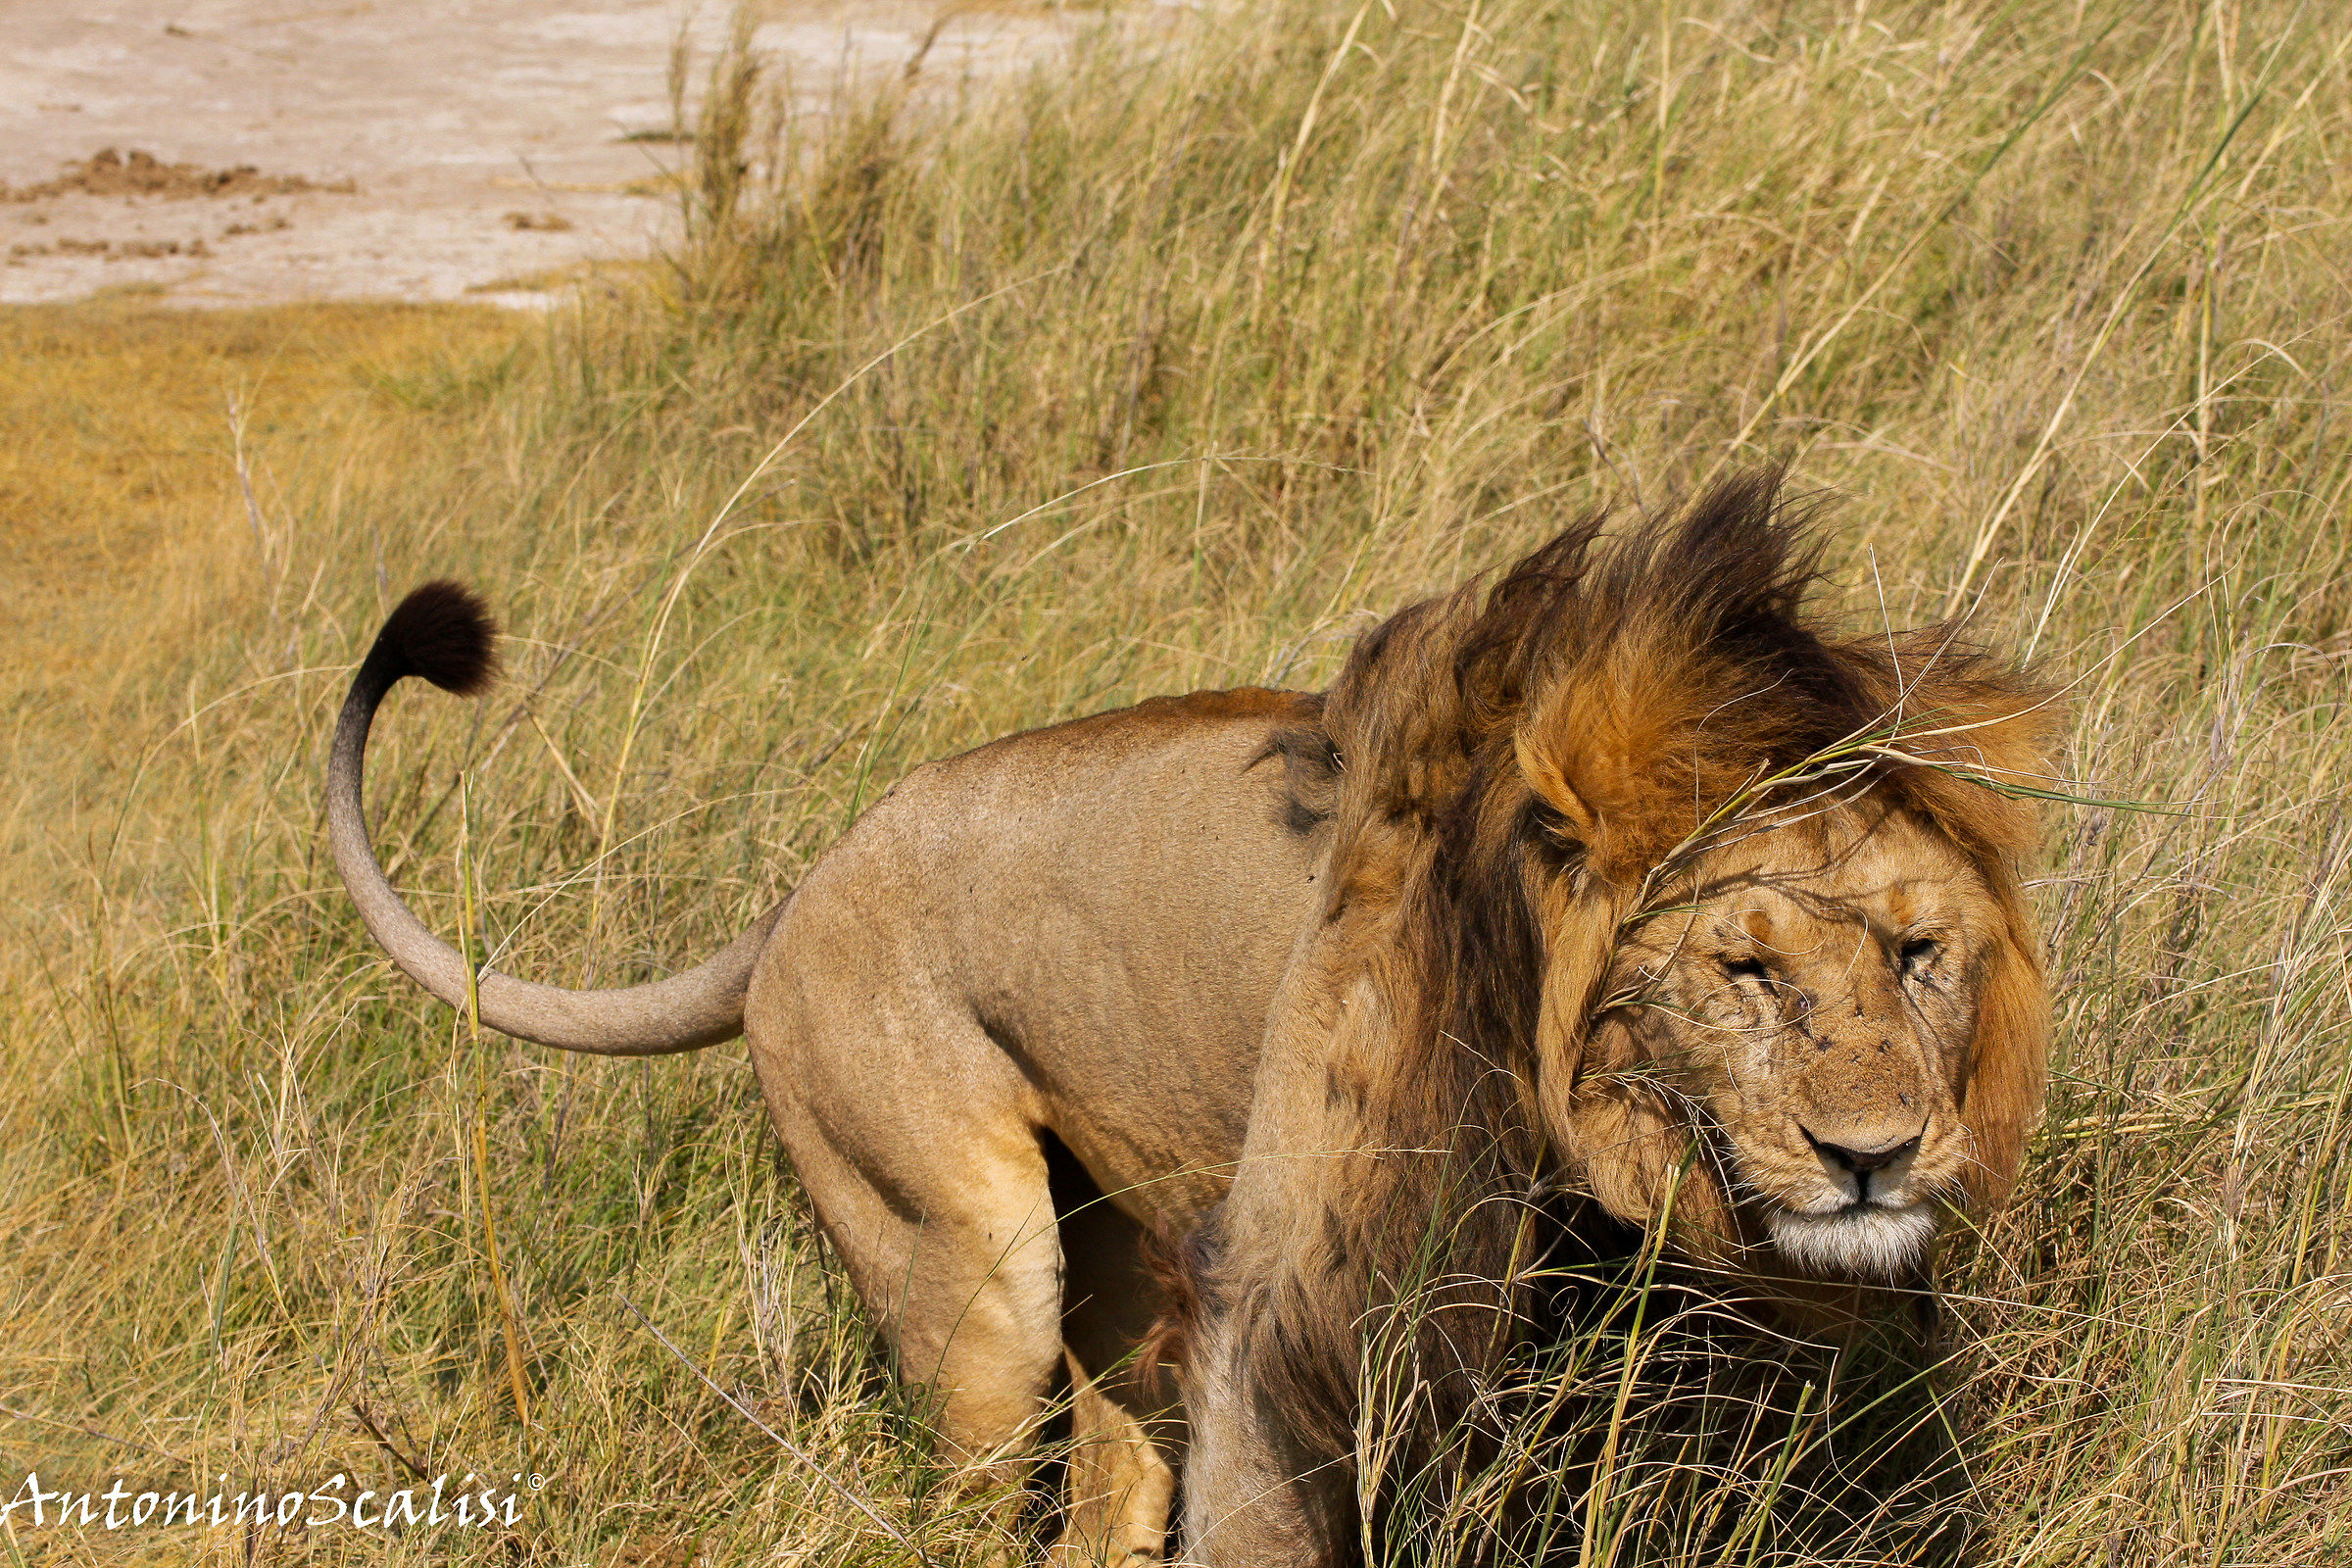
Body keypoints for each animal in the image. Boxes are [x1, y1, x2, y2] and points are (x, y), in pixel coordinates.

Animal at [324, 470, 2056, 1566]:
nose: (1876, 1158)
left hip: (1120, 1260)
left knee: (1101, 1495)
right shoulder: (1295, 1288)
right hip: (964, 1266)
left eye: (1919, 955)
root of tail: (807, 882)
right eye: (1746, 971)